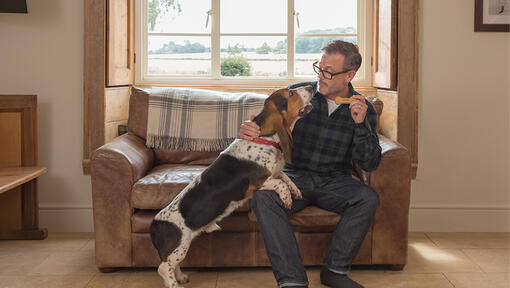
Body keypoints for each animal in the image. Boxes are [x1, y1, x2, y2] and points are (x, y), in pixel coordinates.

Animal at [149, 86, 312, 288]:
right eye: (290, 94)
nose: (311, 87)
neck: (263, 138)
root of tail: (154, 225)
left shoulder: (273, 173)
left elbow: (285, 177)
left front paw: (295, 191)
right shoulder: (256, 183)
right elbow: (280, 182)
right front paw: (287, 198)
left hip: (180, 247)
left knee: (172, 265)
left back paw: (180, 277)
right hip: (180, 246)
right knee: (163, 268)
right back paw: (174, 285)